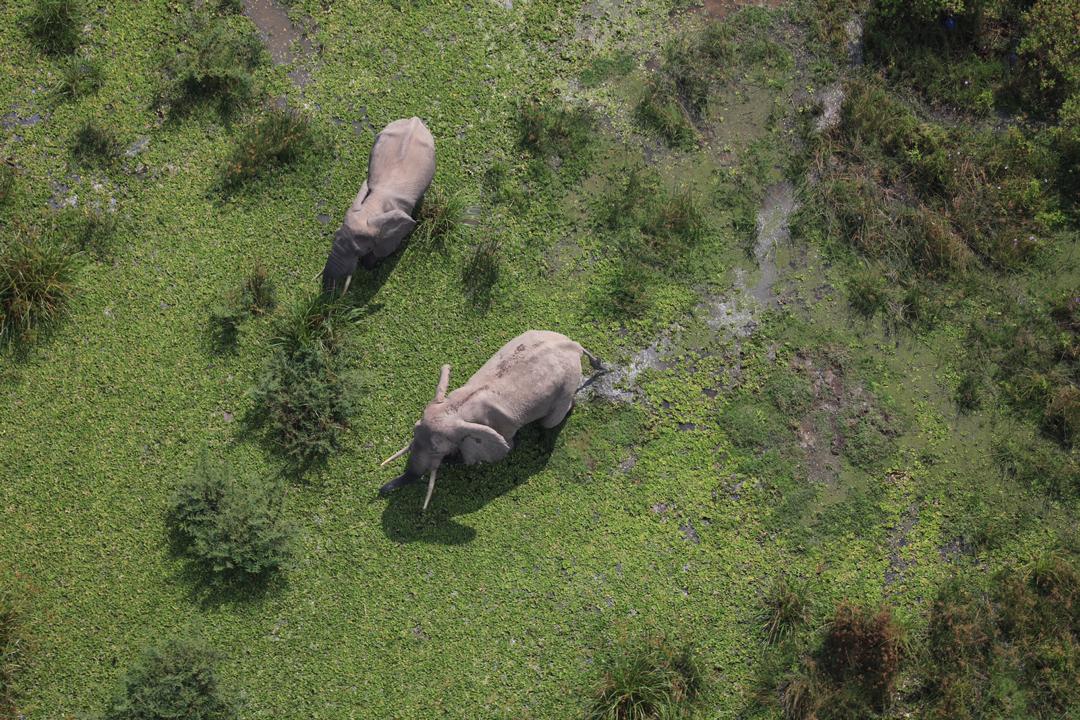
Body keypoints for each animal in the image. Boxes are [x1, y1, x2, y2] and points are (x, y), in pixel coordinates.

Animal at [322, 116, 436, 294]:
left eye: (359, 250)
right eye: (334, 234)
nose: (332, 293)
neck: (372, 207)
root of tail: (415, 119)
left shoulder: (400, 217)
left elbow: (383, 248)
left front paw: (368, 265)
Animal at [378, 330, 603, 510]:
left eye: (436, 449)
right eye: (413, 429)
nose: (380, 491)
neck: (455, 408)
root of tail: (573, 345)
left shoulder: (498, 428)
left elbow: (503, 450)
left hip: (567, 383)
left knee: (550, 421)